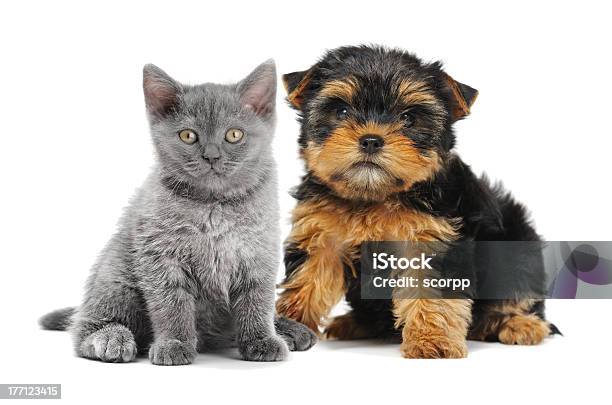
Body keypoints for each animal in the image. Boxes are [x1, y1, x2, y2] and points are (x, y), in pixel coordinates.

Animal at [39, 60, 316, 366]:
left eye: (234, 134)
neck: (213, 205)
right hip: (116, 278)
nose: (211, 156)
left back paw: (288, 328)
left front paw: (261, 339)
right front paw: (174, 343)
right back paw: (110, 338)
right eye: (188, 135)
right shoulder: (161, 256)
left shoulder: (258, 252)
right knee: (85, 327)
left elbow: (258, 301)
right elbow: (171, 304)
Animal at [278, 45, 560, 358]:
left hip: (517, 241)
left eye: (409, 119)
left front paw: (432, 340)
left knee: (518, 288)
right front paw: (288, 322)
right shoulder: (321, 234)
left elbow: (431, 291)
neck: (374, 196)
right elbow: (307, 279)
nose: (371, 140)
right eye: (342, 111)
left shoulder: (432, 238)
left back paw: (518, 324)